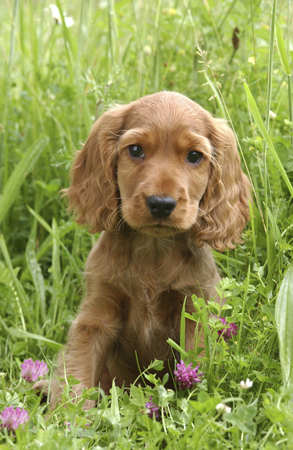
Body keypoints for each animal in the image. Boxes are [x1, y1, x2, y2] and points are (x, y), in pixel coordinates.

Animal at [33, 90, 249, 408]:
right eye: (135, 150)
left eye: (194, 156)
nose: (161, 204)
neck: (153, 251)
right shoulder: (95, 318)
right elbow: (76, 377)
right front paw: (66, 418)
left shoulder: (196, 311)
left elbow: (195, 365)